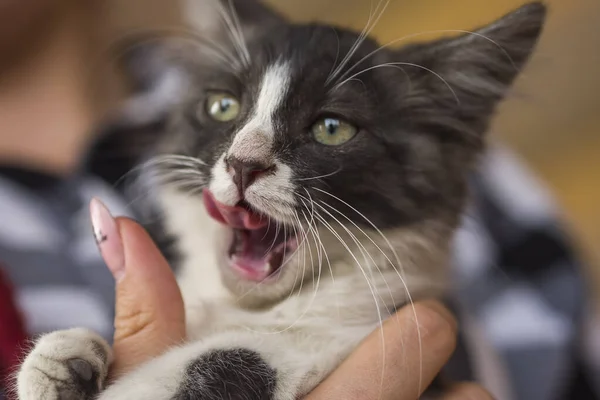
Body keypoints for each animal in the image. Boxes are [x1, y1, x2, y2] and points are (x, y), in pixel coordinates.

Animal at [16, 1, 548, 398]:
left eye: (332, 128)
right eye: (222, 105)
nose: (243, 163)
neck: (258, 309)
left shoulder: (395, 343)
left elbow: (240, 355)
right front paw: (67, 358)